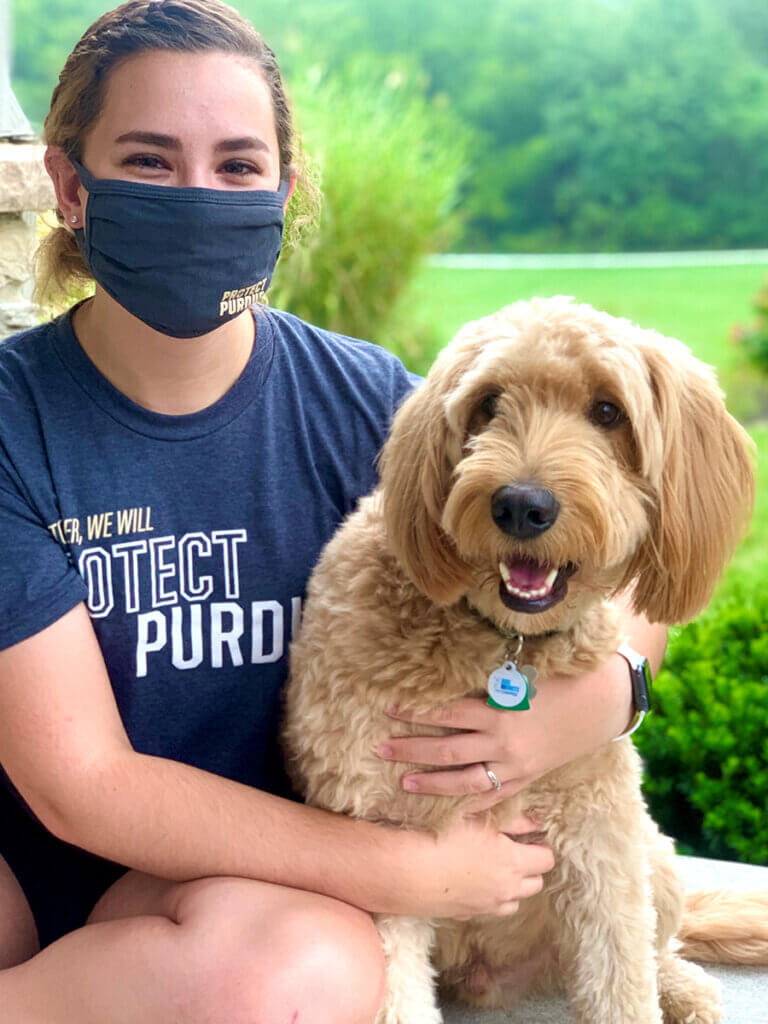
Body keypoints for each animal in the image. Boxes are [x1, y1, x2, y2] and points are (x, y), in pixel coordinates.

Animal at [282, 299, 765, 1024]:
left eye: (607, 410)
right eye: (487, 404)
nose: (520, 505)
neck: (504, 644)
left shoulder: (602, 840)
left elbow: (623, 979)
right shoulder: (383, 848)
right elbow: (396, 990)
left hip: (651, 851)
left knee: (659, 946)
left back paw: (682, 990)